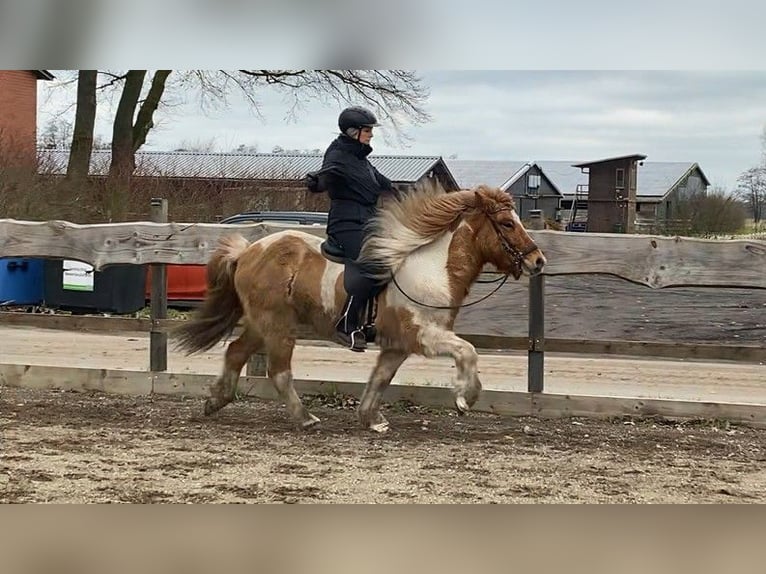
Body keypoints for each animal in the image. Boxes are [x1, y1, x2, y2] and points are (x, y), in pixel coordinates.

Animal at [173, 181, 546, 433]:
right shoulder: (423, 335)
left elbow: (380, 378)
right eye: (508, 224)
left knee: (236, 352)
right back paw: (305, 418)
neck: (432, 268)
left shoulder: (397, 346)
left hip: (261, 323)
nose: (538, 261)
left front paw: (371, 418)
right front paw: (464, 398)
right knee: (278, 371)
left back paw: (214, 401)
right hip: (277, 326)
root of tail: (249, 250)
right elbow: (468, 351)